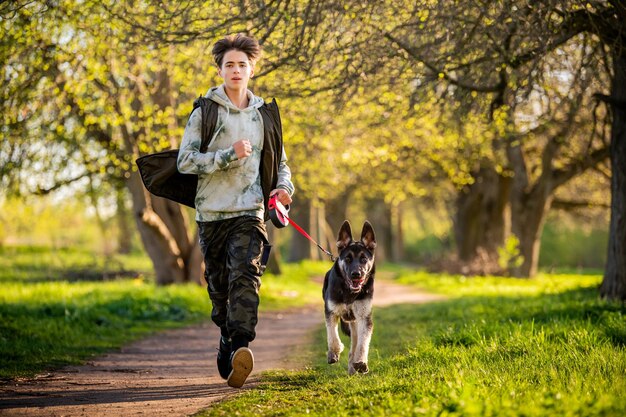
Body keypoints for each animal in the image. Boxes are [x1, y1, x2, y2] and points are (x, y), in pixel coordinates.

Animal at [322, 219, 376, 376]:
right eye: (347, 258)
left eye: (364, 259)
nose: (356, 274)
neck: (348, 291)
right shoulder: (330, 311)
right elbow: (332, 335)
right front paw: (334, 351)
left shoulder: (364, 317)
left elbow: (363, 343)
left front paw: (361, 362)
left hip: (355, 321)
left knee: (355, 345)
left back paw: (353, 365)